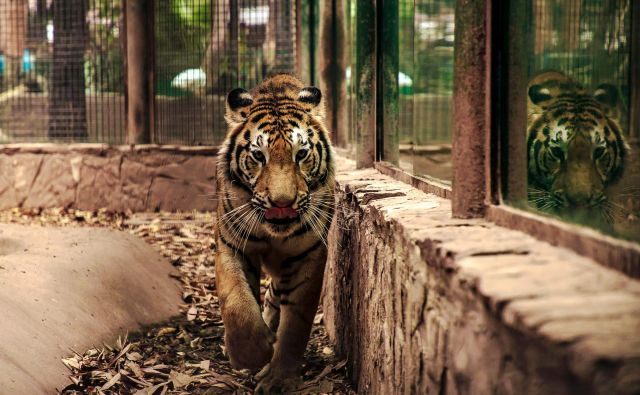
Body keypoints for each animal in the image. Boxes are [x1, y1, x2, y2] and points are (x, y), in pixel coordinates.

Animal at [215, 73, 336, 392]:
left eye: (301, 154)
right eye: (259, 155)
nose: (282, 203)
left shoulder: (308, 256)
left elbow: (295, 325)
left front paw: (279, 377)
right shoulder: (231, 245)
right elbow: (237, 302)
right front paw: (250, 355)